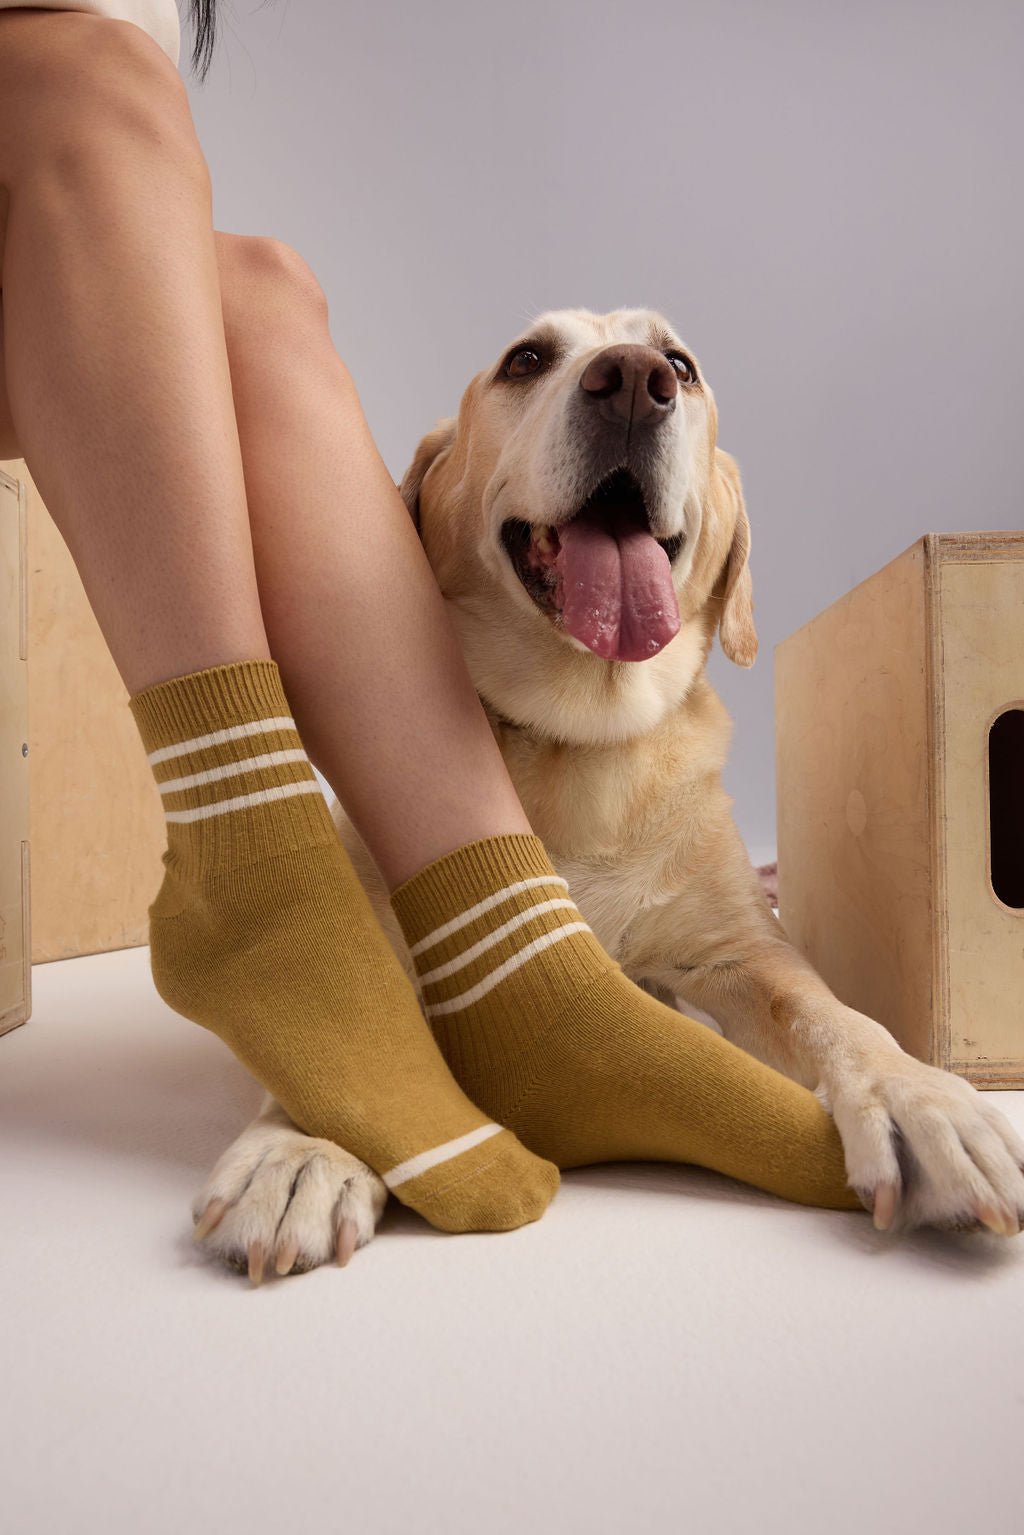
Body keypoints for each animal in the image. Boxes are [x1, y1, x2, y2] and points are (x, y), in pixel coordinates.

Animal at [191, 305, 1024, 1277]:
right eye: (526, 359)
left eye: (681, 366)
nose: (632, 382)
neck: (577, 742)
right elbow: (344, 1019)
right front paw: (304, 1147)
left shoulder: (743, 947)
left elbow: (832, 1013)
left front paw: (923, 1096)